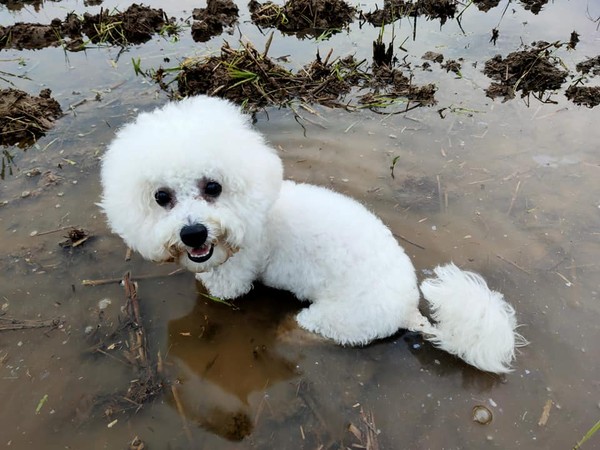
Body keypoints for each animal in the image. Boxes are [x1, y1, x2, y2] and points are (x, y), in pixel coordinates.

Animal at [102, 96, 524, 374]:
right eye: (161, 197)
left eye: (213, 187)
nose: (192, 233)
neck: (256, 215)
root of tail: (408, 310)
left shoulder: (232, 283)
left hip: (332, 320)